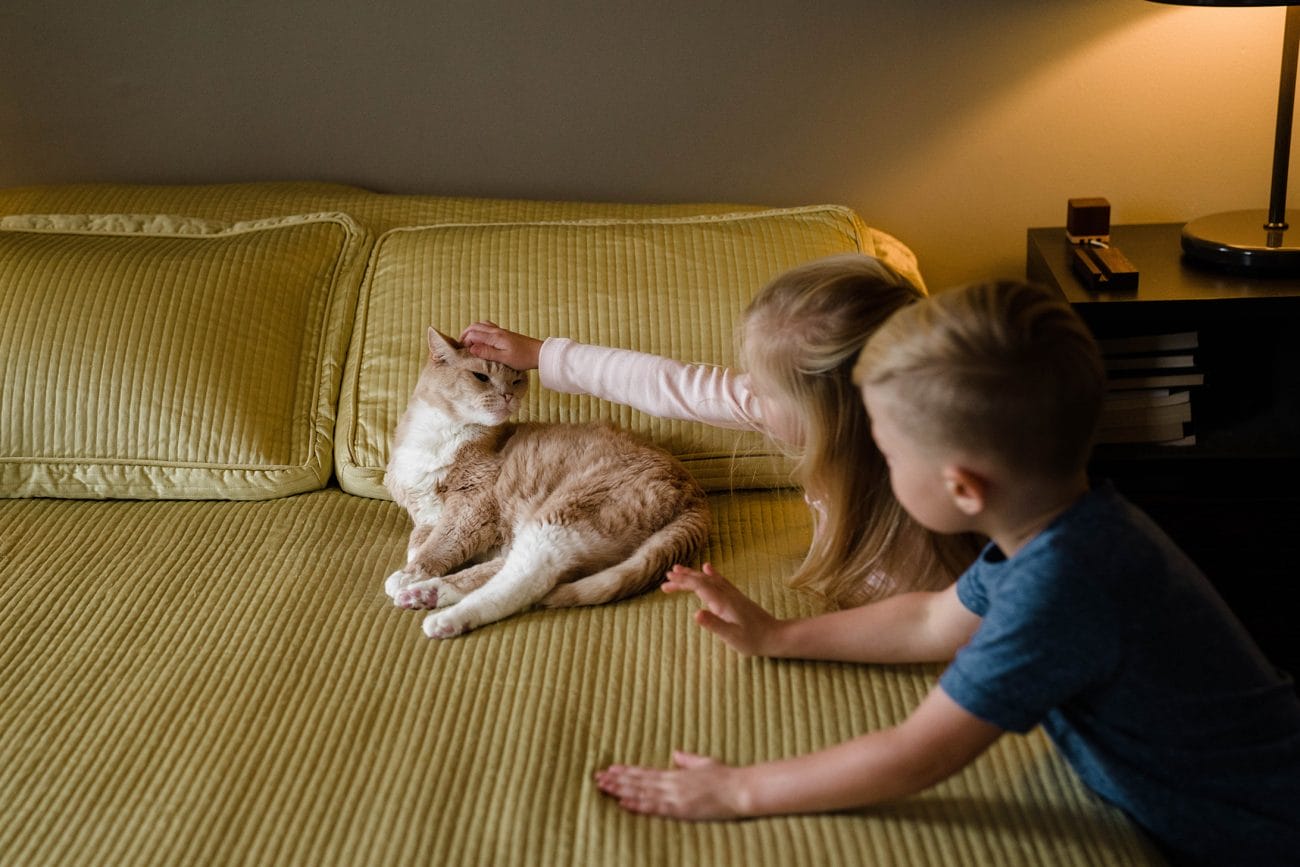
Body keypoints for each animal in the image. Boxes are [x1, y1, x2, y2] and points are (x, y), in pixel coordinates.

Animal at [384, 324, 712, 636]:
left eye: (516, 381)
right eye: (480, 377)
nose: (507, 395)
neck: (437, 435)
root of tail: (693, 491)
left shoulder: (472, 504)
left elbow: (442, 543)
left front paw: (412, 573)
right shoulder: (426, 516)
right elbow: (419, 542)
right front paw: (416, 568)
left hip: (563, 514)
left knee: (524, 581)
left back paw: (445, 617)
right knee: (509, 570)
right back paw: (424, 594)